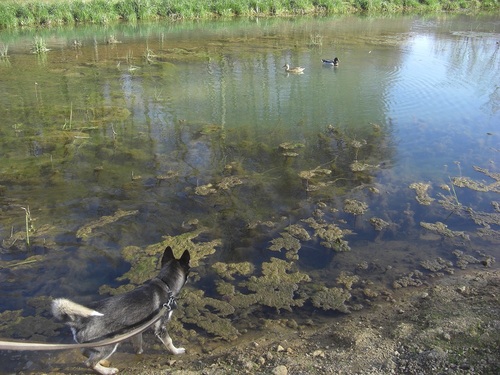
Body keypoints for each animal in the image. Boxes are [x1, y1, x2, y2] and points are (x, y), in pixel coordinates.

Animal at [51, 247, 189, 375]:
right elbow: (169, 342)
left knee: (85, 352)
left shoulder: (136, 331)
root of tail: (79, 321)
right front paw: (176, 351)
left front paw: (139, 353)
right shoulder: (161, 328)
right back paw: (108, 371)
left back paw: (103, 362)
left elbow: (138, 345)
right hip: (109, 345)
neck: (166, 284)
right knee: (89, 362)